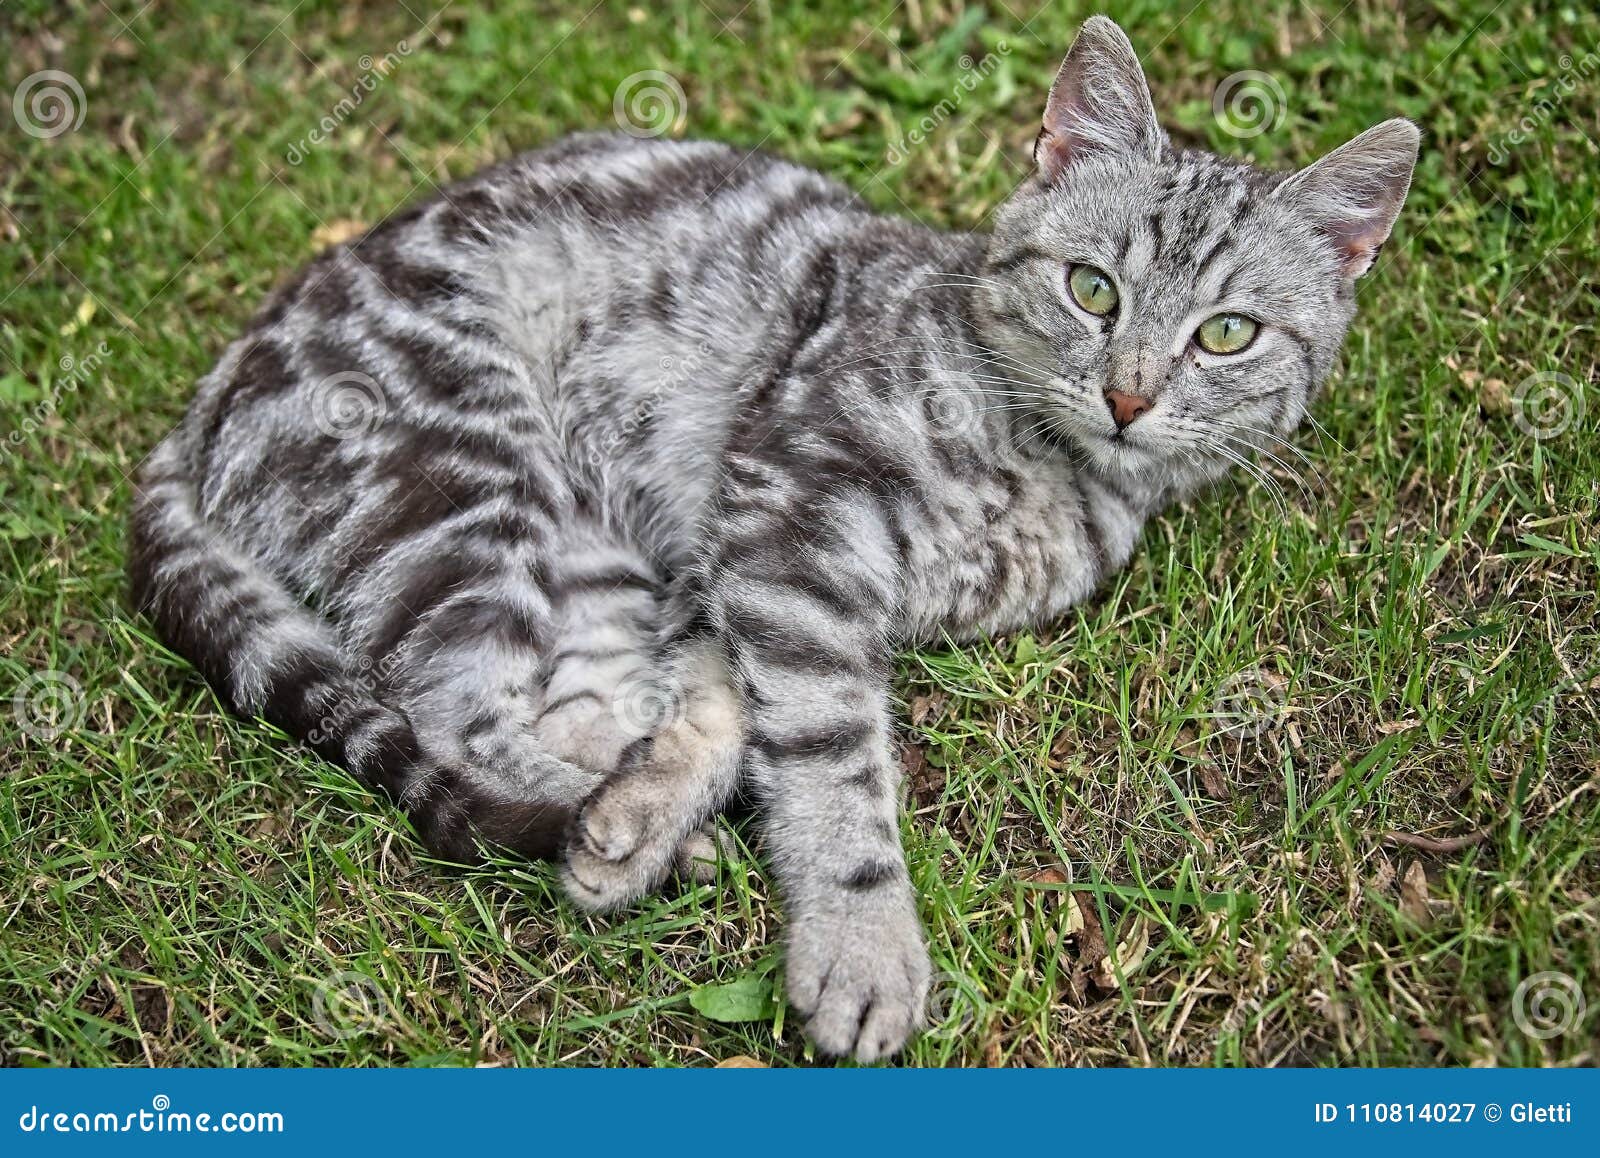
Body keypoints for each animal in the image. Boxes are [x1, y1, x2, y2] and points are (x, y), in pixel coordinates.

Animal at [131, 18, 1420, 1062]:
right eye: (1092, 289)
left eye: (1228, 333)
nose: (1130, 395)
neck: (1047, 473)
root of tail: (206, 398)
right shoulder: (793, 511)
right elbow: (829, 754)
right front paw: (863, 942)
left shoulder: (731, 565)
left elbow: (721, 704)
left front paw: (655, 800)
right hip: (465, 483)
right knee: (457, 711)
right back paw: (595, 823)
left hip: (586, 554)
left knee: (569, 700)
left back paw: (636, 824)